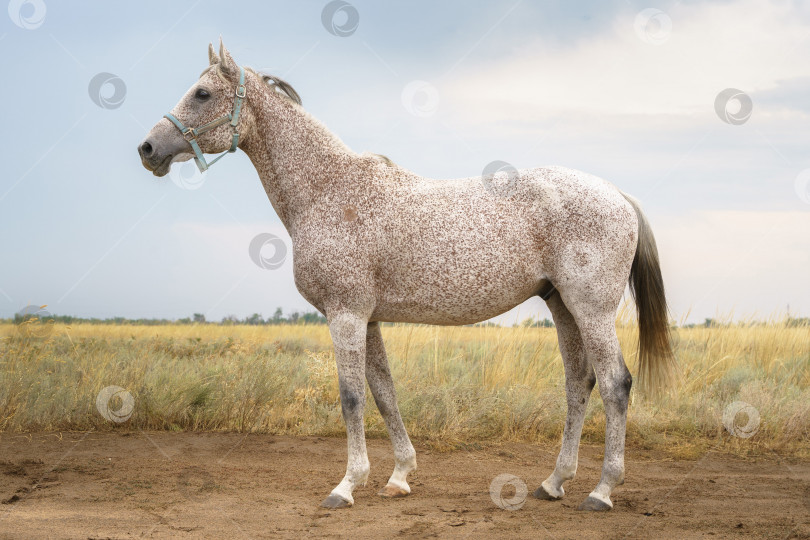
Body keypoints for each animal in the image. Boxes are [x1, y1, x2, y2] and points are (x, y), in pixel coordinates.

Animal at [139, 41, 676, 510]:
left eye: (202, 93)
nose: (147, 148)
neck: (329, 191)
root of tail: (617, 194)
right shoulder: (369, 318)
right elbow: (384, 393)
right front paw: (399, 476)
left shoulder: (346, 314)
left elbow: (351, 397)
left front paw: (346, 485)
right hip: (563, 305)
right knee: (577, 383)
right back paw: (553, 482)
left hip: (591, 309)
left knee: (615, 384)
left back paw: (602, 491)